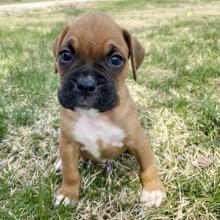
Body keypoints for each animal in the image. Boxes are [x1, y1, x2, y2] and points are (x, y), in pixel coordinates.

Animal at [52, 12, 165, 208]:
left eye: (115, 60)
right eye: (65, 55)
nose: (86, 84)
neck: (96, 115)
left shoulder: (138, 141)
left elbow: (148, 166)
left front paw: (152, 190)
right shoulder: (68, 143)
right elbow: (71, 172)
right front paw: (68, 193)